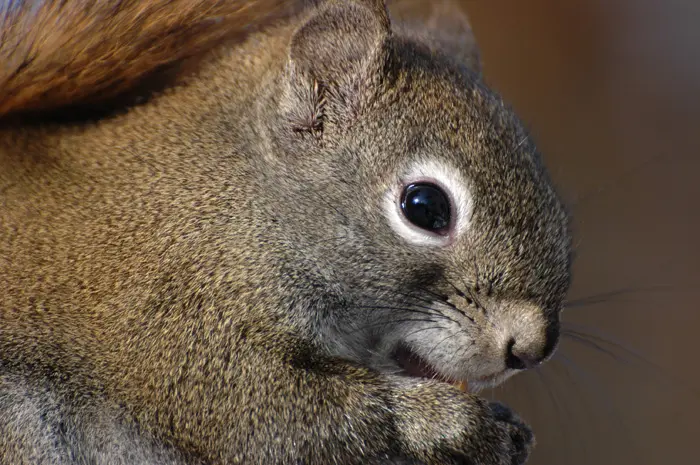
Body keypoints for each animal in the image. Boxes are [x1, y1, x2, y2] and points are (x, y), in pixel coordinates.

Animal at [0, 0, 572, 464]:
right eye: (425, 207)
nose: (529, 349)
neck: (247, 205)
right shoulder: (171, 322)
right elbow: (272, 413)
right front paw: (448, 421)